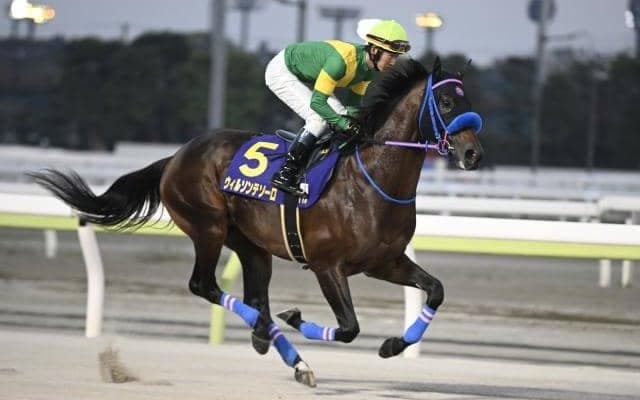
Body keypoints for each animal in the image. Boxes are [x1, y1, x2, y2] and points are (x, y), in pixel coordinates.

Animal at [30, 56, 483, 387]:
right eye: (446, 104)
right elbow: (349, 327)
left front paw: (392, 345)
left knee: (254, 297)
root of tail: (175, 157)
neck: (371, 179)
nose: (472, 154)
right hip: (207, 227)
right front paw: (296, 317)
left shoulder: (384, 262)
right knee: (205, 286)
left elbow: (436, 290)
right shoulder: (327, 266)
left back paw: (285, 352)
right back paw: (269, 332)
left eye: (469, 103)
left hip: (251, 247)